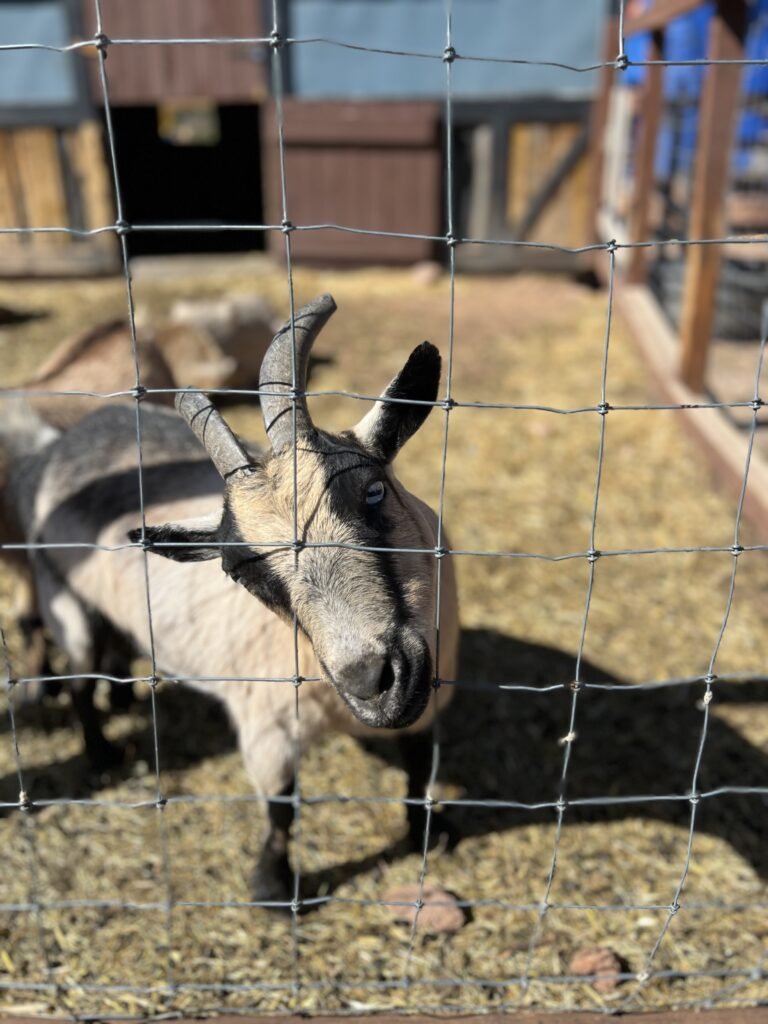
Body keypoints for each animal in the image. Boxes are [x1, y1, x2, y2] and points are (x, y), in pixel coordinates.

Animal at [10, 294, 459, 900]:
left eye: (372, 491)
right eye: (243, 574)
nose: (370, 681)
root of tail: (56, 449)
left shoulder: (427, 700)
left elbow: (417, 766)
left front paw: (427, 834)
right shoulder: (266, 727)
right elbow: (281, 808)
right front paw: (272, 886)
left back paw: (123, 696)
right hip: (61, 595)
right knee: (79, 673)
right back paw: (101, 755)